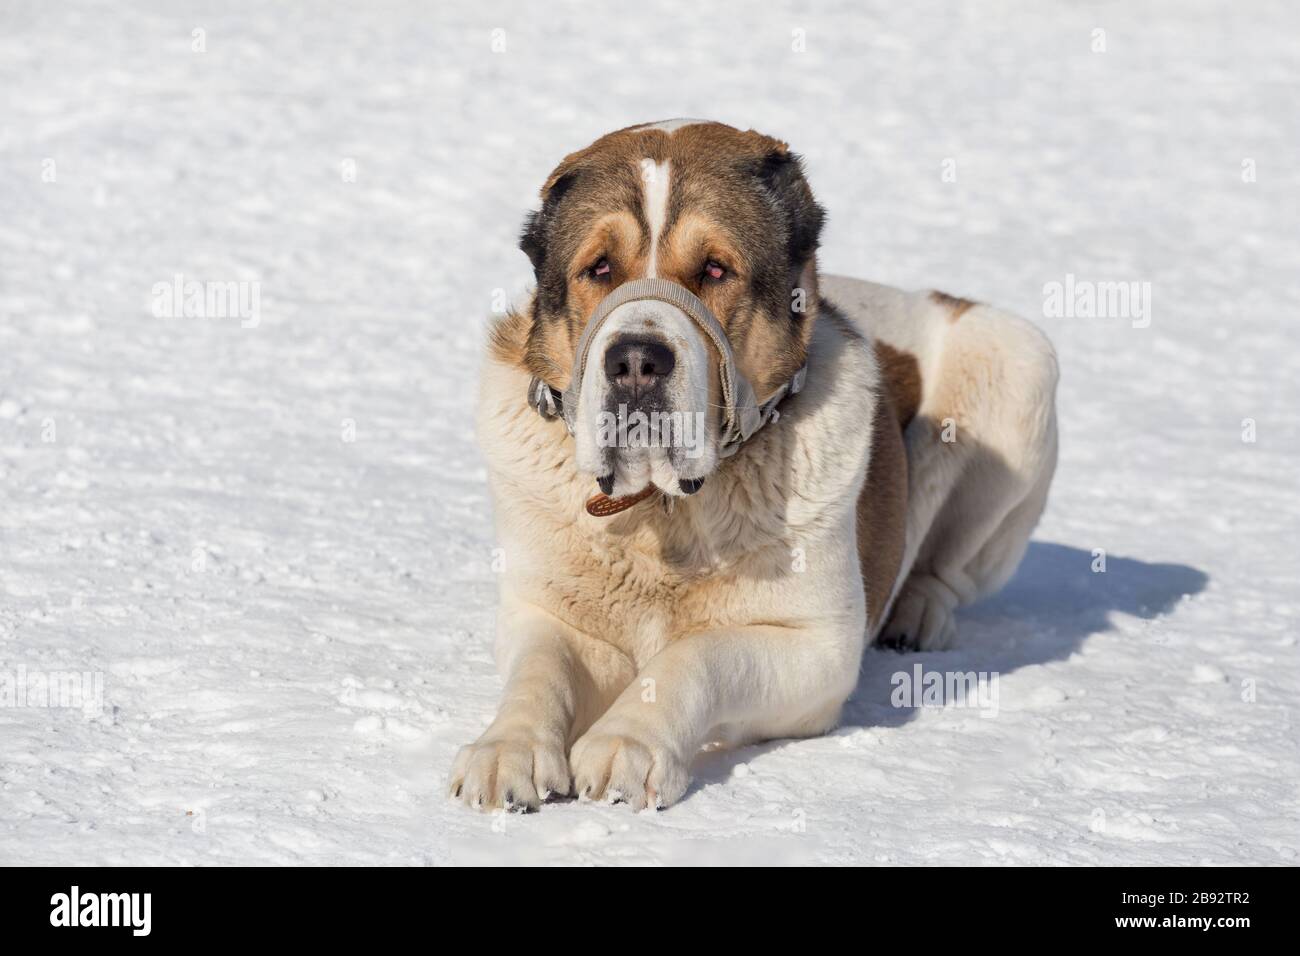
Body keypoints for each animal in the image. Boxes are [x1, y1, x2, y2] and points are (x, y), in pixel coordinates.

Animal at [452, 115, 1060, 811]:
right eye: (598, 267)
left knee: (947, 570)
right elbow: (539, 670)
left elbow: (699, 656)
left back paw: (918, 614)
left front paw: (628, 743)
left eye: (715, 270)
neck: (666, 514)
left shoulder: (818, 648)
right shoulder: (542, 610)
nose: (635, 360)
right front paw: (507, 748)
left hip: (1016, 359)